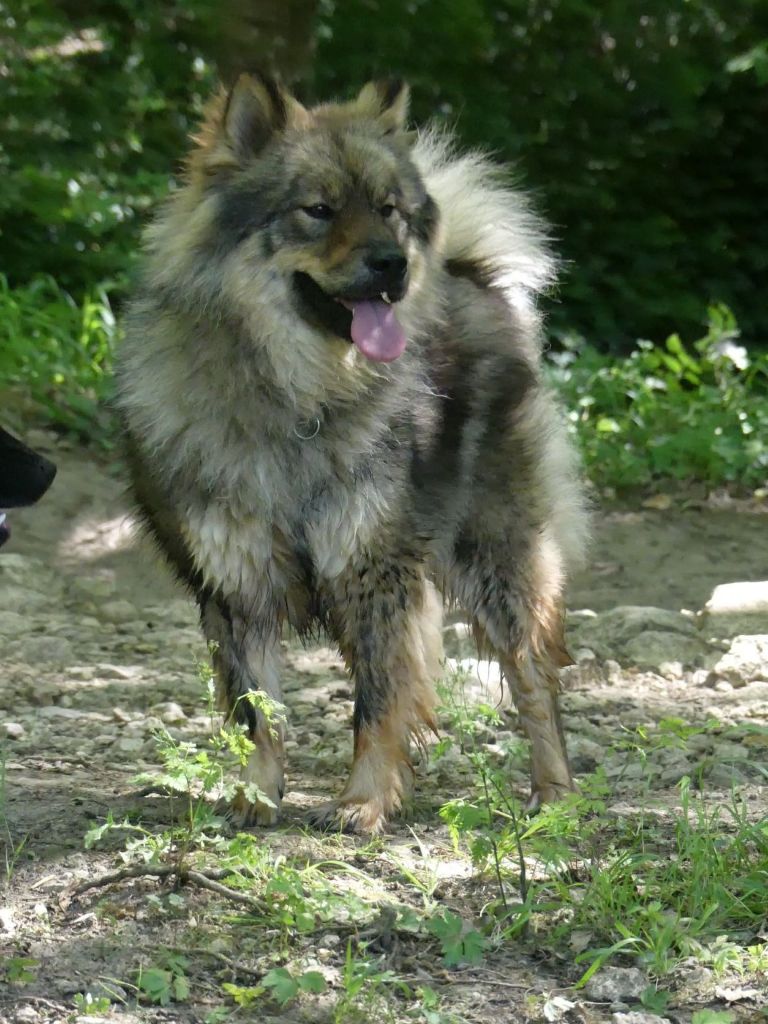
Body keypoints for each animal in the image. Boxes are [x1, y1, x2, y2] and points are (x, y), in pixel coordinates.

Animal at [117, 77, 593, 831]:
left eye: (388, 210)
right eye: (318, 210)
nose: (392, 264)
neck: (298, 400)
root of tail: (474, 278)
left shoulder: (373, 570)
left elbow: (376, 702)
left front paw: (364, 802)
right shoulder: (238, 583)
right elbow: (259, 712)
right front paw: (258, 796)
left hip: (500, 558)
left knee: (532, 678)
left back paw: (555, 794)